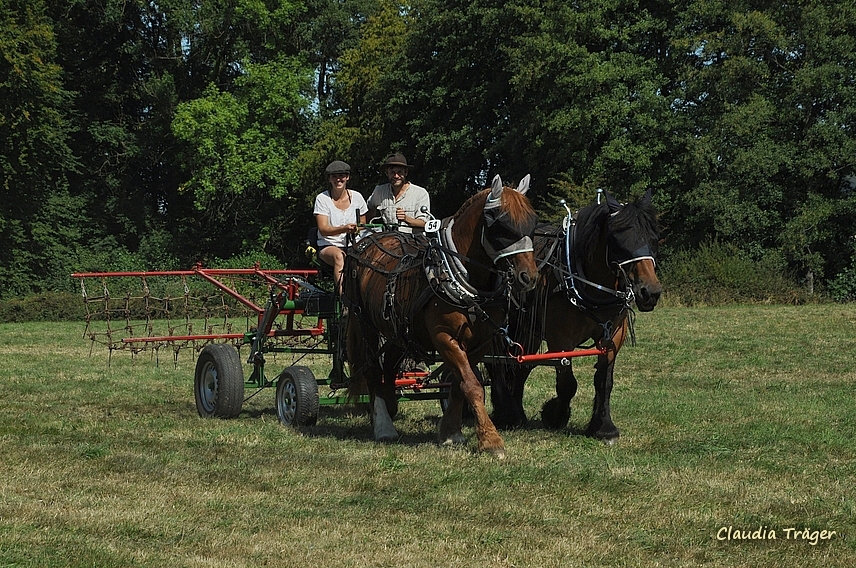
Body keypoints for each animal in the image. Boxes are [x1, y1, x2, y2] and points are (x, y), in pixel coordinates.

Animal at [344, 174, 540, 458]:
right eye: (500, 225)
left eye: (532, 223)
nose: (529, 277)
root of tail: (365, 243)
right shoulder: (444, 338)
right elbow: (471, 385)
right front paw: (491, 440)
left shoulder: (479, 343)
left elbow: (460, 384)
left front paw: (451, 432)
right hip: (364, 323)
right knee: (371, 369)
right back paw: (383, 425)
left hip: (397, 329)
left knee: (389, 365)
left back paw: (390, 407)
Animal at [488, 189, 664, 442]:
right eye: (618, 239)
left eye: (654, 237)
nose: (650, 292)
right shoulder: (560, 339)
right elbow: (567, 384)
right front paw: (554, 415)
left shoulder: (613, 336)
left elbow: (604, 381)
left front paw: (604, 426)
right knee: (495, 366)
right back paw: (505, 414)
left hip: (528, 332)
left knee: (519, 366)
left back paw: (517, 413)